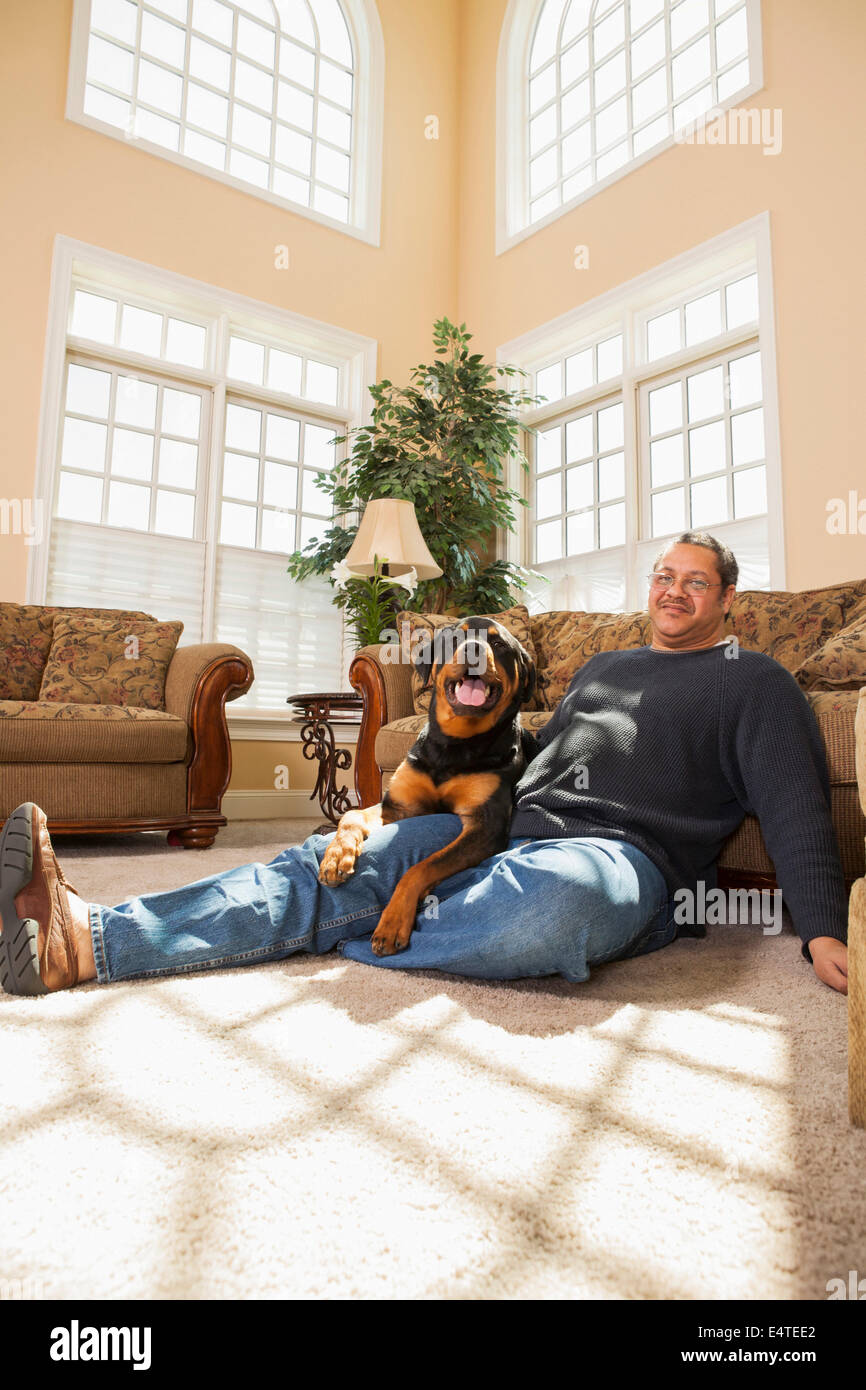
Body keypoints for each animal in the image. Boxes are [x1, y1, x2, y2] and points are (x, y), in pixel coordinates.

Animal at [318, 619, 536, 956]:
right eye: (455, 637)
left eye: (500, 645)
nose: (474, 650)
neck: (455, 743)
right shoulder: (400, 806)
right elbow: (351, 816)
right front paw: (336, 857)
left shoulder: (486, 825)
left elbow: (423, 867)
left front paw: (393, 922)